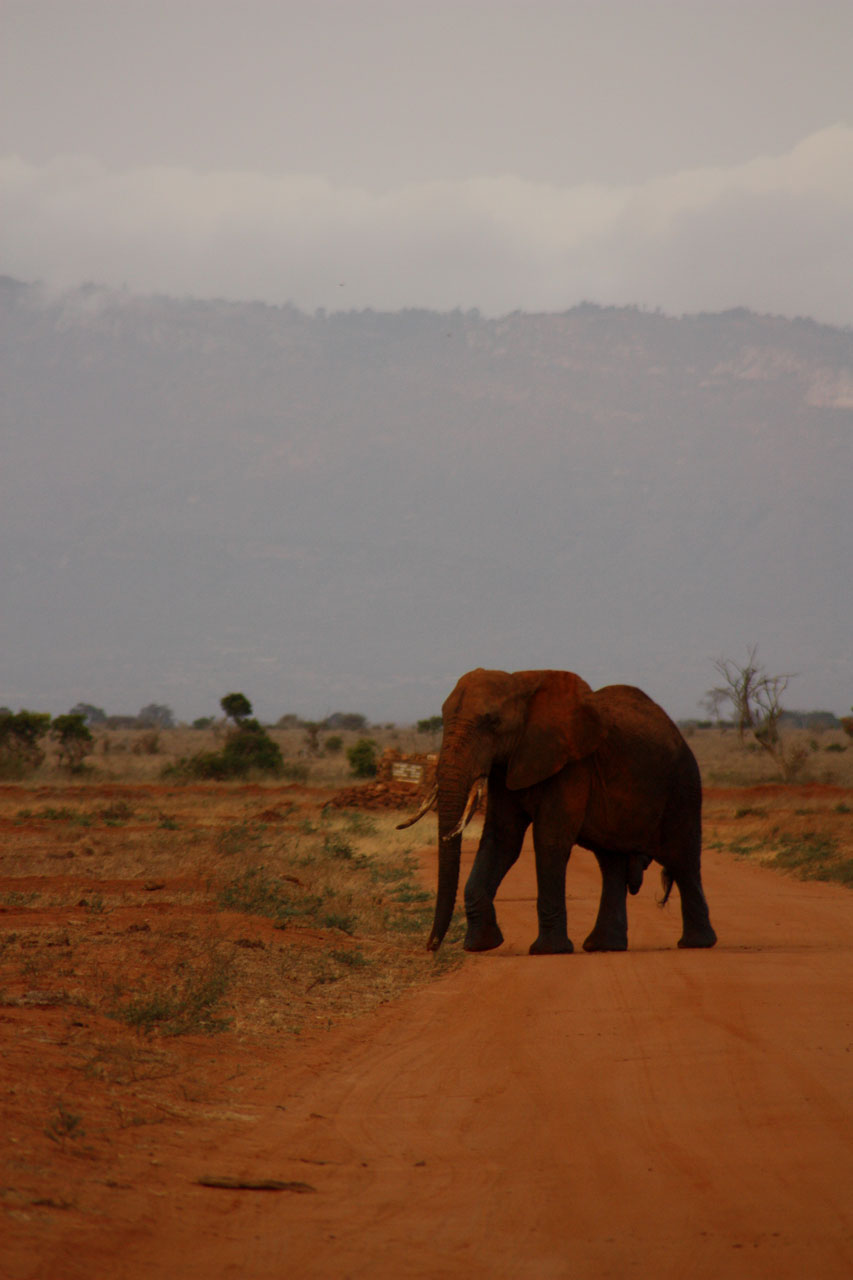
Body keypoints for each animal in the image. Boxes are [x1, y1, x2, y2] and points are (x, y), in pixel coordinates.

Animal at [394, 670, 712, 952]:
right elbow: (502, 839)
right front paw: (480, 946)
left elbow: (549, 840)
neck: (521, 685)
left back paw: (696, 943)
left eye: (492, 721)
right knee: (611, 862)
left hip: (683, 786)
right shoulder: (508, 764)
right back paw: (603, 946)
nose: (431, 946)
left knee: (683, 860)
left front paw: (548, 950)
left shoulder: (571, 764)